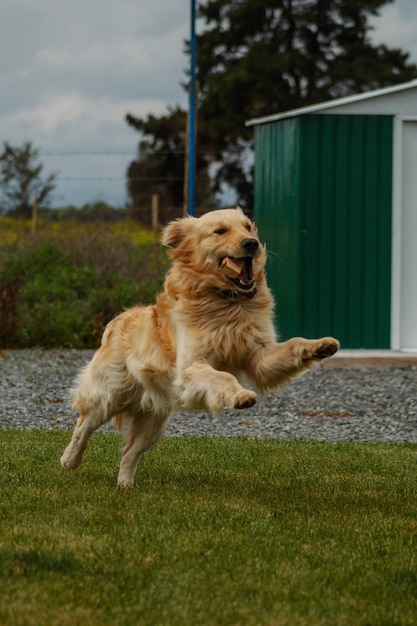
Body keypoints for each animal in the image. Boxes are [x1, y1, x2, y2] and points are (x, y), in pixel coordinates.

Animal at [60, 207, 340, 486]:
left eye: (248, 227)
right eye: (220, 230)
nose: (252, 243)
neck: (227, 303)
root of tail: (116, 321)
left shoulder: (259, 355)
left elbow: (293, 344)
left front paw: (321, 345)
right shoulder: (191, 366)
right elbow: (224, 377)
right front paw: (241, 396)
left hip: (154, 421)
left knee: (129, 453)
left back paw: (125, 485)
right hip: (109, 396)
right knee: (83, 426)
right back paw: (69, 459)